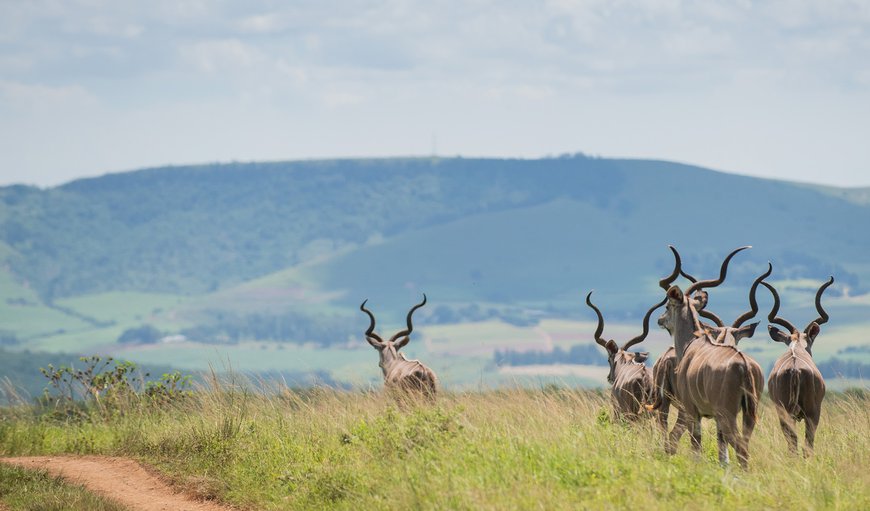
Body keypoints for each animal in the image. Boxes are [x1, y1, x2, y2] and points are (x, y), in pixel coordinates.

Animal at [660, 247, 764, 468]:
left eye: (667, 306)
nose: (660, 319)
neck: (693, 342)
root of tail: (744, 364)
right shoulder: (713, 417)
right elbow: (721, 451)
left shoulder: (693, 411)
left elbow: (696, 445)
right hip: (748, 414)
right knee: (744, 444)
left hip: (727, 414)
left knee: (741, 448)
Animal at [768, 276, 836, 456]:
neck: (797, 347)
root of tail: (795, 369)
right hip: (809, 413)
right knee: (803, 444)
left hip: (789, 413)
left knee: (796, 443)